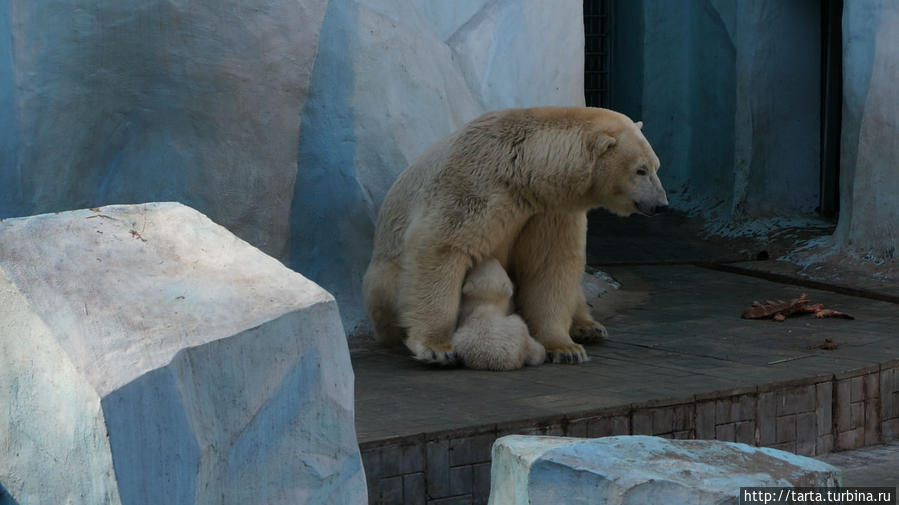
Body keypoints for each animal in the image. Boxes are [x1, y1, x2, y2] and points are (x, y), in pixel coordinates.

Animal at [360, 108, 668, 364]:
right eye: (640, 169)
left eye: (656, 166)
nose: (661, 204)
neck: (523, 169)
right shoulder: (474, 185)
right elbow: (442, 248)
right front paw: (437, 348)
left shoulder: (550, 210)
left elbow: (550, 265)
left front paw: (565, 348)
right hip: (385, 276)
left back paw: (588, 327)